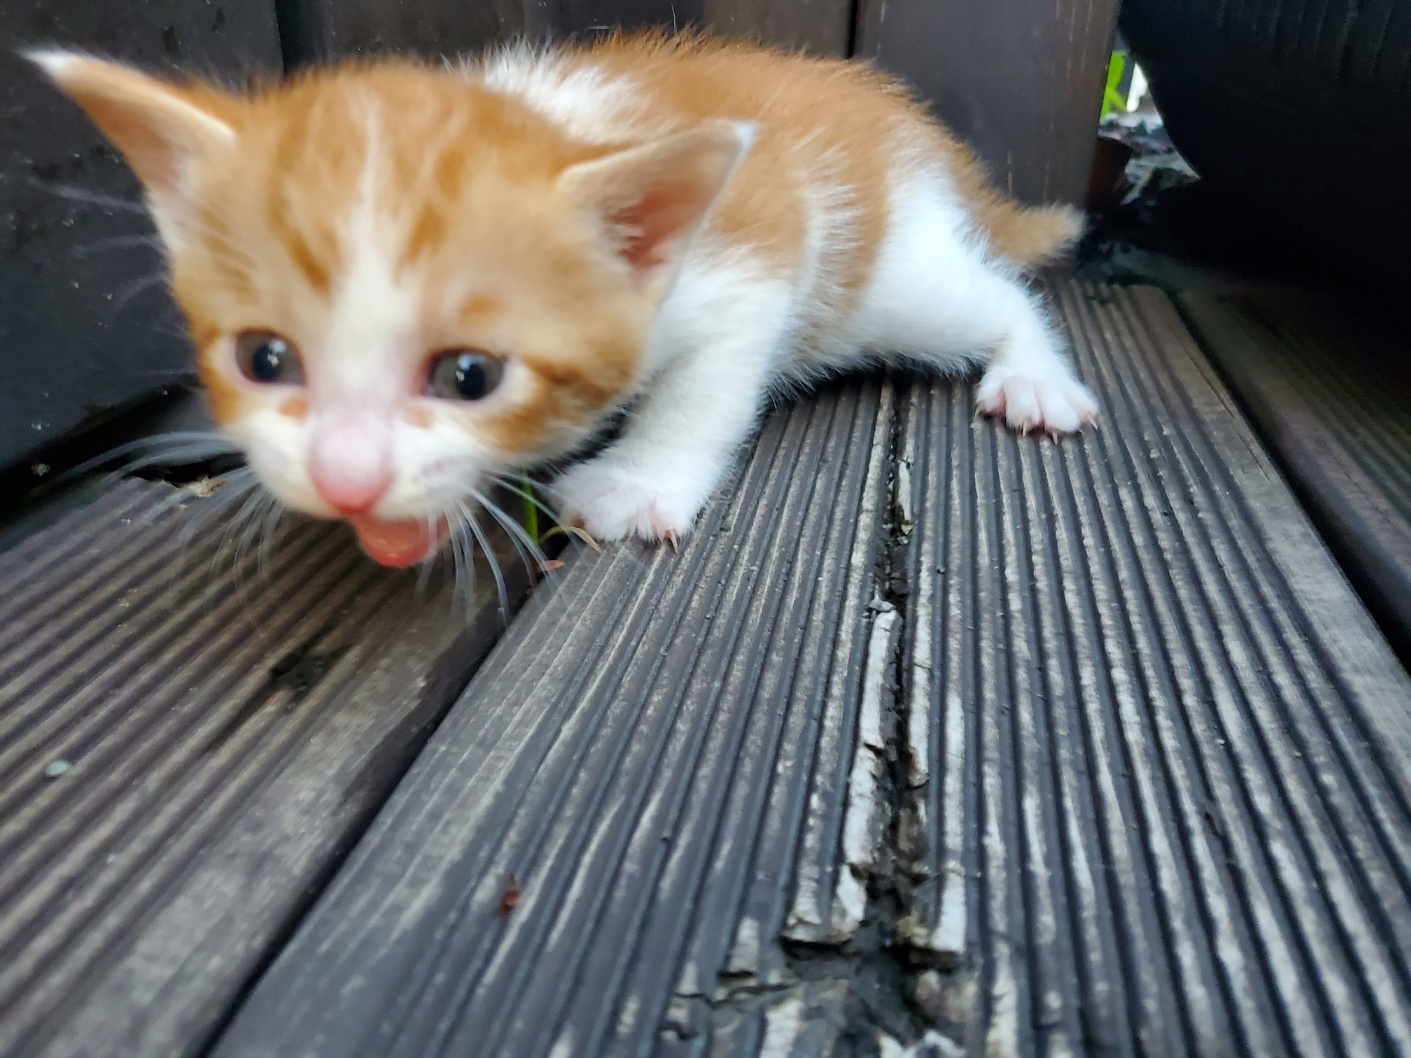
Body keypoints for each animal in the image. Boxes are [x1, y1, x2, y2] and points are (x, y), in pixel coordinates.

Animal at [27, 33, 1094, 567]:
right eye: (263, 358)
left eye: (470, 375)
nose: (347, 483)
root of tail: (903, 121)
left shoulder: (754, 253)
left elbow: (704, 392)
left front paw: (634, 483)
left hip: (889, 271)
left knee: (992, 294)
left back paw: (1036, 377)